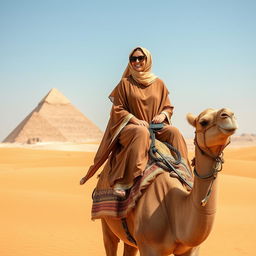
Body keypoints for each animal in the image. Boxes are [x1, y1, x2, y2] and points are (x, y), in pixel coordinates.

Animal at [100, 107, 238, 255]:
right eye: (203, 122)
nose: (228, 114)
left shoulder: (191, 249)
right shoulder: (149, 247)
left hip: (131, 238)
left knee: (129, 246)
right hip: (107, 224)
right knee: (110, 242)